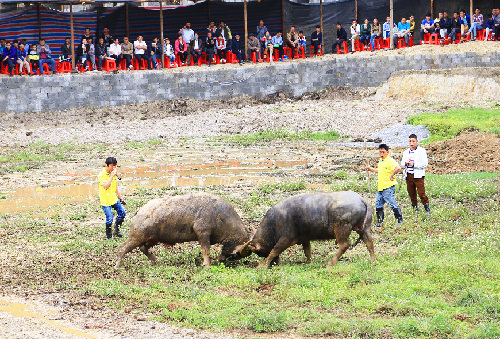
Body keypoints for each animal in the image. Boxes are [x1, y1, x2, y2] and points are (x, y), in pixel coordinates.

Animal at [115, 194, 252, 268]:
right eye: (236, 254)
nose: (222, 260)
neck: (221, 217)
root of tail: (140, 211)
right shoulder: (202, 232)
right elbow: (206, 250)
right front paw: (207, 265)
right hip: (137, 236)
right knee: (123, 248)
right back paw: (117, 265)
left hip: (154, 238)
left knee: (143, 248)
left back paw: (155, 260)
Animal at [239, 191, 376, 268]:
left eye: (260, 253)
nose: (275, 263)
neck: (275, 222)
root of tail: (361, 200)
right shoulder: (305, 238)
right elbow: (307, 251)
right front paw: (309, 262)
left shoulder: (286, 239)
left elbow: (275, 250)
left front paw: (263, 264)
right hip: (363, 227)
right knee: (369, 241)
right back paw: (372, 261)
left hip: (342, 227)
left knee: (344, 245)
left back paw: (329, 264)